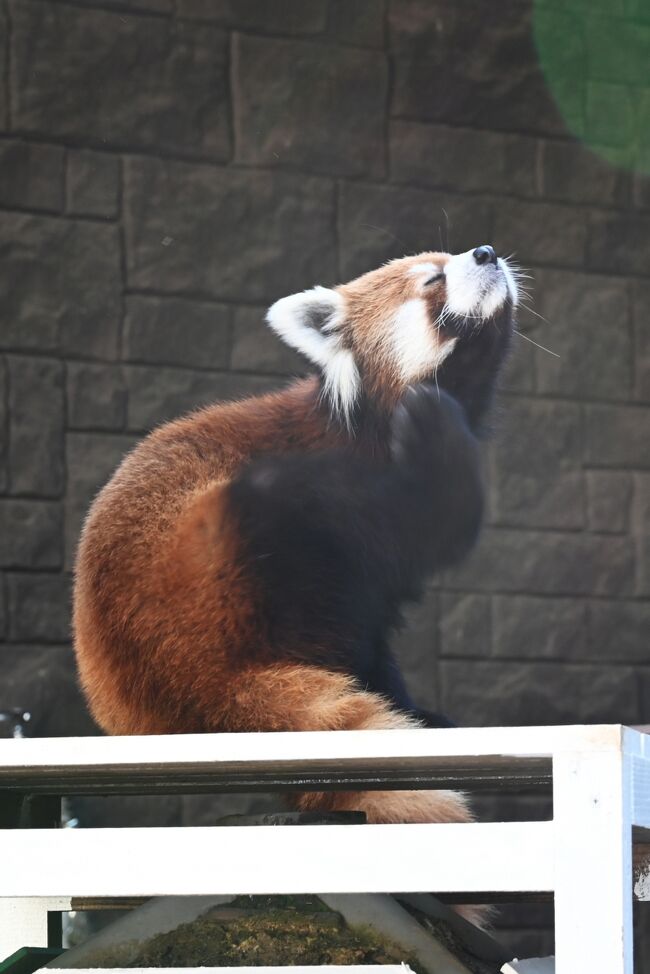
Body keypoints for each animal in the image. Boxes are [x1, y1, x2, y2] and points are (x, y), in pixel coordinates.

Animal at [71, 246, 516, 860]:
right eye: (432, 280)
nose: (486, 253)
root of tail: (189, 693)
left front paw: (411, 707)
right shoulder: (362, 489)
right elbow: (435, 520)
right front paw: (441, 440)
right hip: (228, 558)